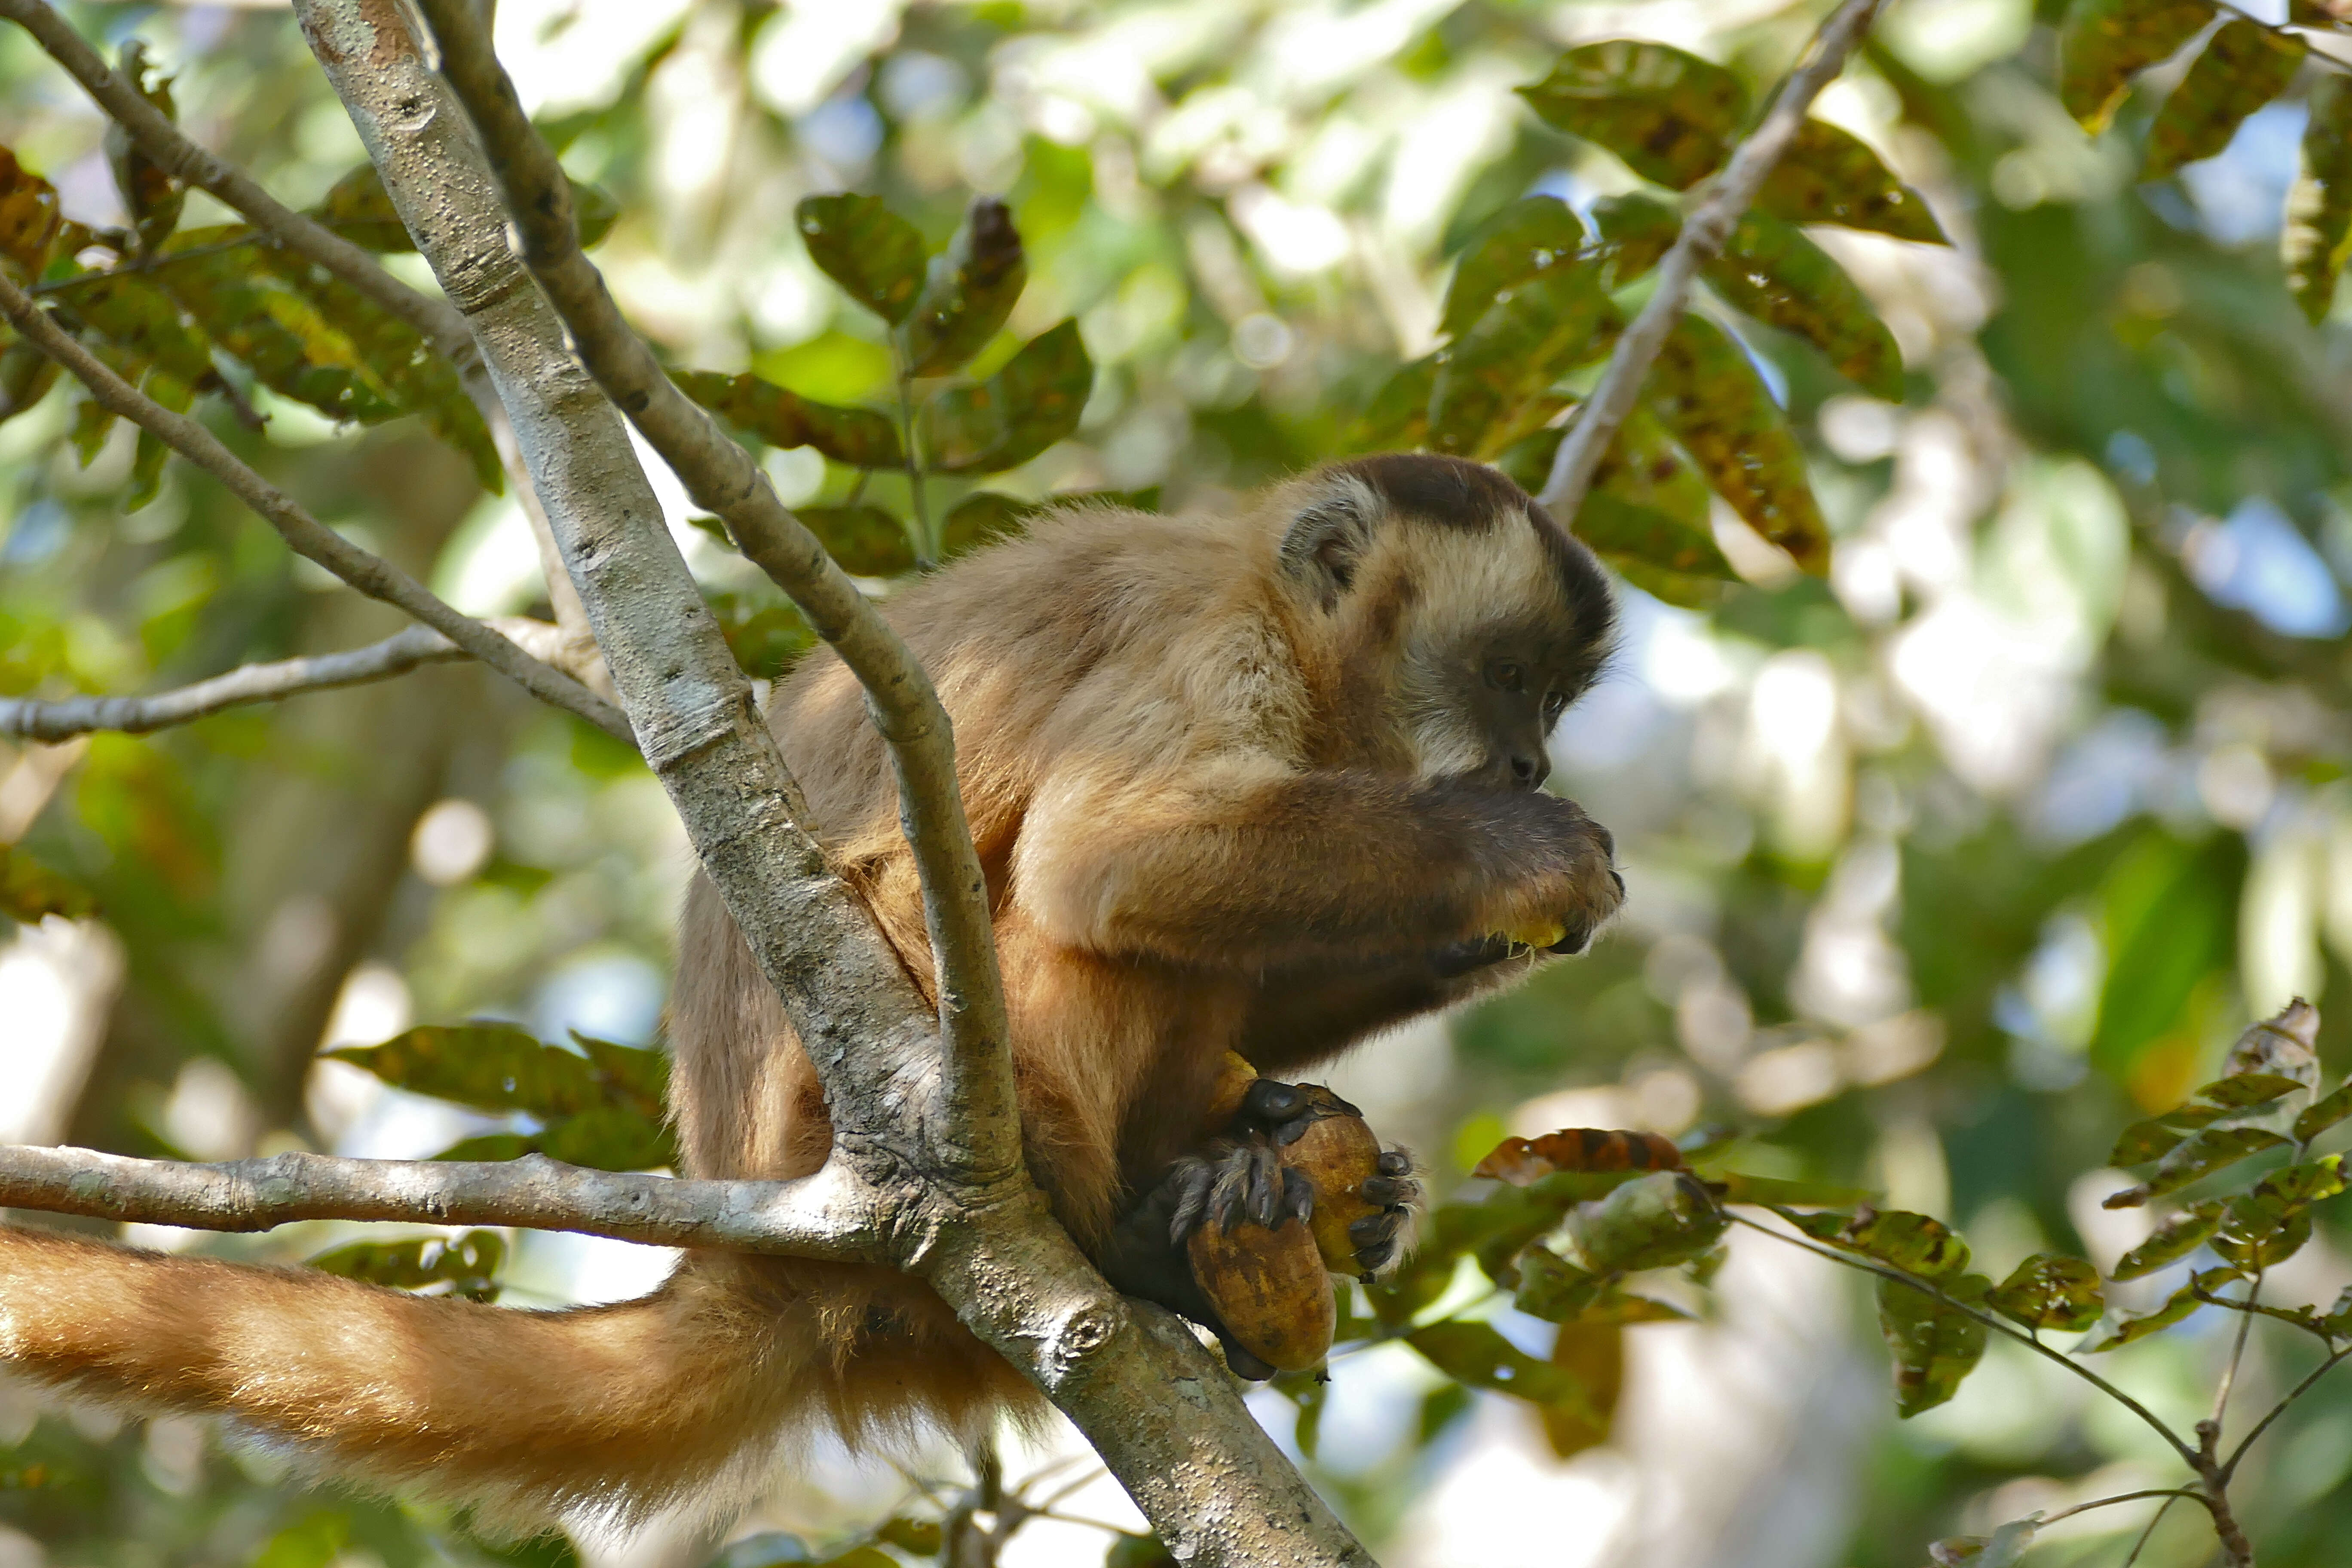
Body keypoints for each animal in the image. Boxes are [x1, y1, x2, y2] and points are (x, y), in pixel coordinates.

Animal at [0, 447, 1618, 1523]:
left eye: (1550, 696)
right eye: (1511, 677)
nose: (1532, 757)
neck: (1272, 604)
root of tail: (772, 1219)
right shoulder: (1205, 641)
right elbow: (1111, 866)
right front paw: (1520, 857)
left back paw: (1271, 1161)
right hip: (870, 1091)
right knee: (1027, 907)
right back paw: (1129, 1225)